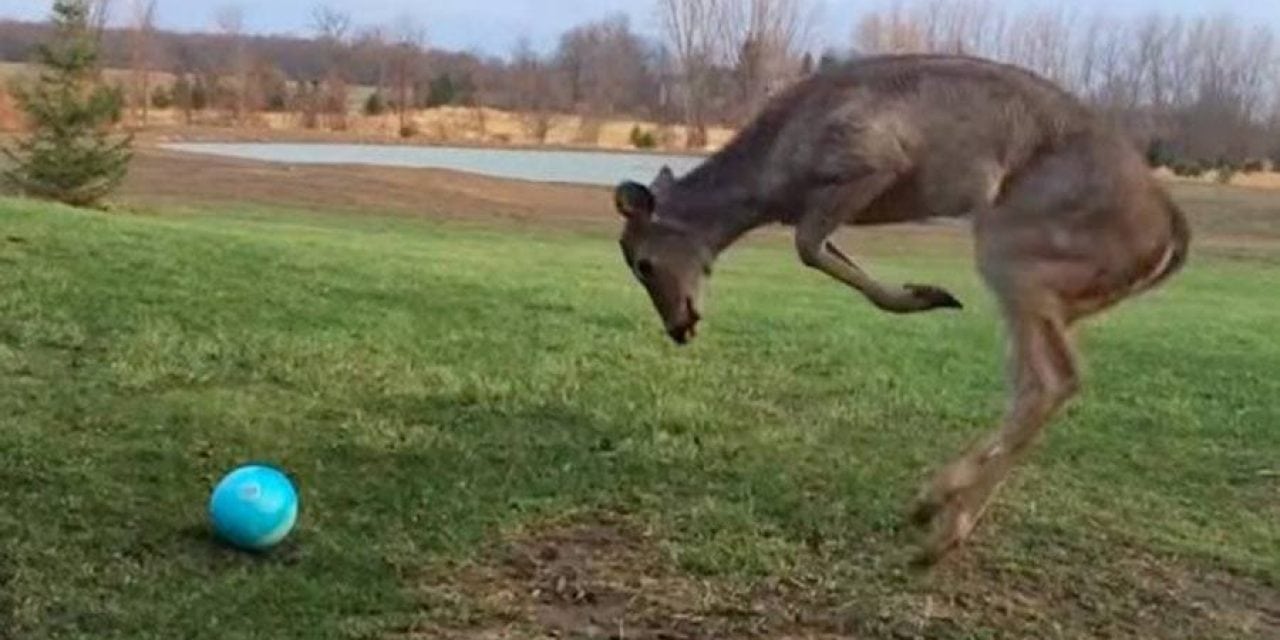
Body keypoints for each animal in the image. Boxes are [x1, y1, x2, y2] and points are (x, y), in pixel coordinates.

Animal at [609, 55, 1187, 565]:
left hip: (1014, 247)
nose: (678, 326)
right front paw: (928, 293)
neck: (774, 181)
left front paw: (927, 295)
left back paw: (936, 516)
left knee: (1053, 379)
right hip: (1060, 291)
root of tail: (1169, 232)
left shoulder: (869, 163)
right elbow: (821, 249)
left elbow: (807, 247)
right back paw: (938, 522)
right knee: (1040, 381)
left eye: (642, 263)